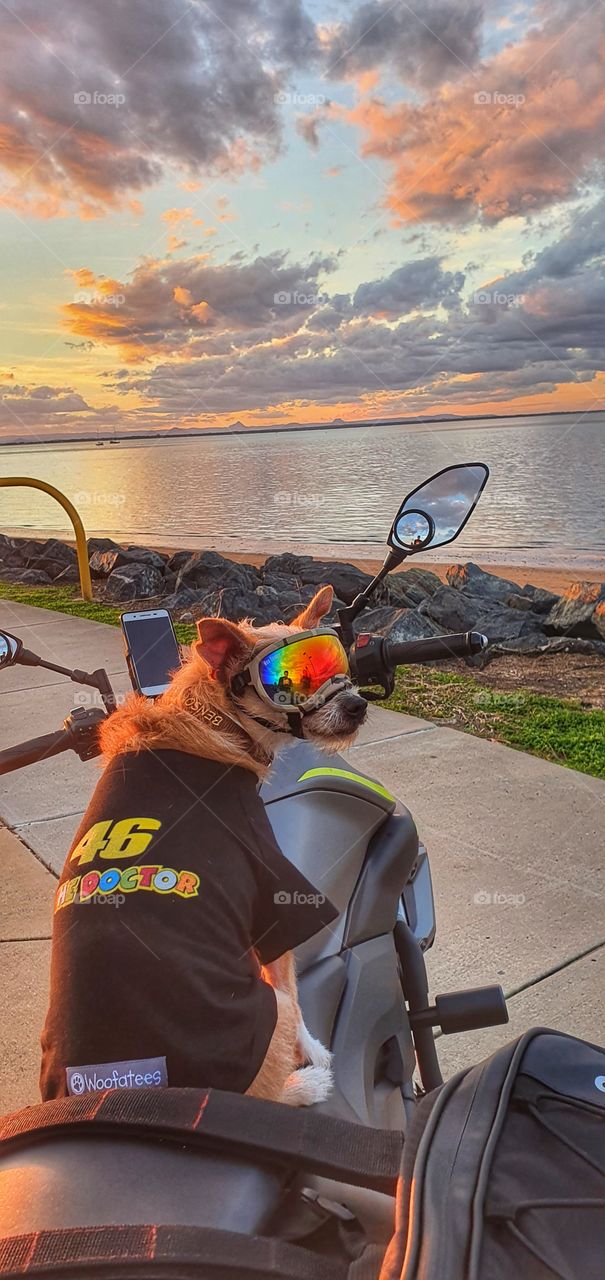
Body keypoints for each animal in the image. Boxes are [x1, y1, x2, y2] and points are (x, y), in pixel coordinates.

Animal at [41, 586, 368, 1105]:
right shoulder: (271, 889)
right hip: (265, 1016)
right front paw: (315, 1053)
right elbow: (295, 994)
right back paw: (305, 1085)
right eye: (289, 680)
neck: (214, 721)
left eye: (334, 660)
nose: (358, 704)